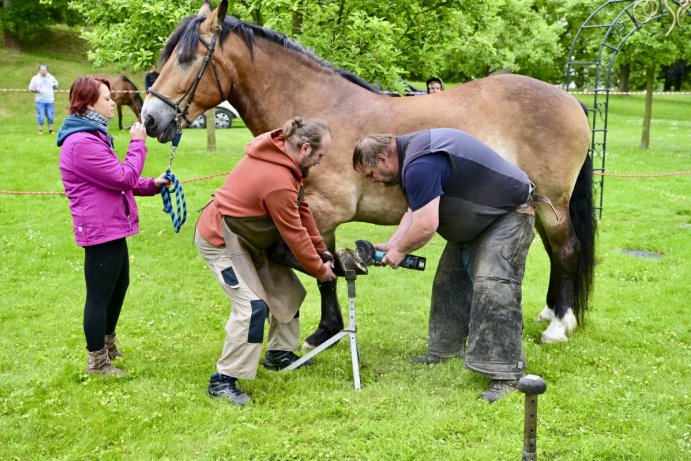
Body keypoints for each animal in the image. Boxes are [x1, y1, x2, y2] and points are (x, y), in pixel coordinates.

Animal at [141, 0, 596, 344]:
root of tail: (569, 99)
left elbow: (308, 262)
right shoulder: (309, 212)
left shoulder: (325, 211)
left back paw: (559, 326)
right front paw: (328, 326)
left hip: (553, 205)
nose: (149, 118)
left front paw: (333, 312)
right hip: (537, 205)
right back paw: (552, 313)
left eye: (187, 58)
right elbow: (318, 265)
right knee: (555, 253)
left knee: (567, 251)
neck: (320, 110)